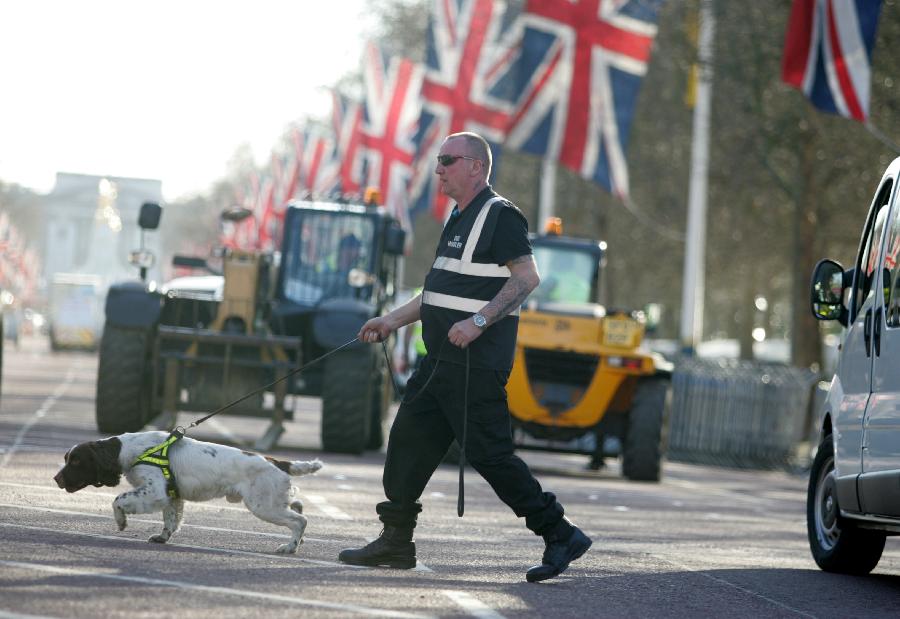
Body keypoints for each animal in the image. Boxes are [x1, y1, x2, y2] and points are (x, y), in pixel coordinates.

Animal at [52, 428, 324, 556]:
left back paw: (290, 547)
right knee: (297, 505)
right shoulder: (172, 495)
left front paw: (121, 522)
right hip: (272, 501)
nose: (56, 478)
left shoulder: (155, 491)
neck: (128, 449)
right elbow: (171, 520)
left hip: (263, 505)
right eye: (66, 458)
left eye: (76, 461)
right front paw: (162, 538)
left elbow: (118, 500)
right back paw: (298, 540)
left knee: (300, 520)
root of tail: (278, 462)